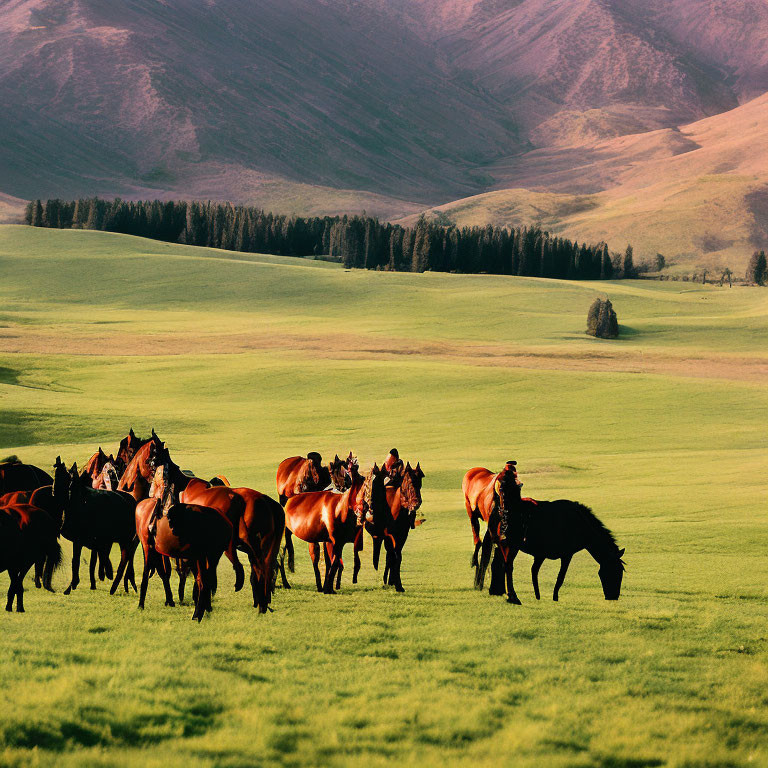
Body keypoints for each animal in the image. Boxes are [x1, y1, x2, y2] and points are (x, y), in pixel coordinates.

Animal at [60, 462, 139, 592]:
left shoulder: (85, 540)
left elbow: (84, 560)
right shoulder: (92, 542)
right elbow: (92, 561)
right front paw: (94, 582)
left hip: (124, 539)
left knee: (126, 556)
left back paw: (117, 584)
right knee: (126, 556)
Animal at [284, 462, 388, 592]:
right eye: (366, 486)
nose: (371, 512)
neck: (342, 509)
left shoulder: (338, 542)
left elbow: (335, 563)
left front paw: (330, 587)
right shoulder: (335, 541)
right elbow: (334, 564)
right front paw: (329, 588)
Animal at [484, 496, 628, 604]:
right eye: (616, 571)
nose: (613, 597)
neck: (579, 524)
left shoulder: (540, 555)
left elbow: (535, 571)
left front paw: (539, 596)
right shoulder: (567, 555)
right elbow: (560, 577)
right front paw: (555, 598)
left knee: (497, 565)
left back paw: (497, 591)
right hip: (512, 546)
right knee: (508, 567)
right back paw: (513, 597)